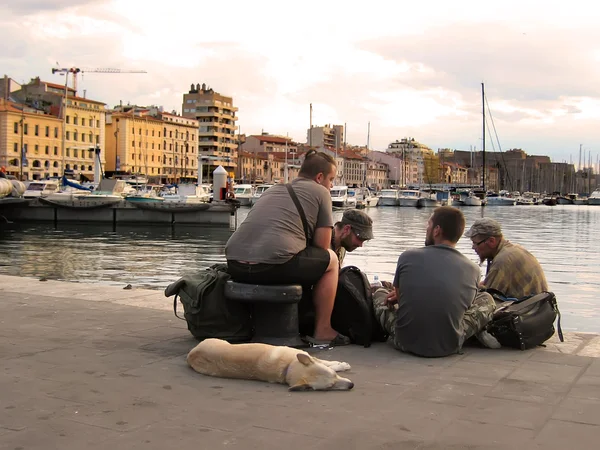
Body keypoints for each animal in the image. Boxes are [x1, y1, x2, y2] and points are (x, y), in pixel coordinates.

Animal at [188, 338, 354, 390]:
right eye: (330, 386)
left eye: (334, 376)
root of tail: (191, 355)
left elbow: (325, 362)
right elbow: (328, 362)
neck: (288, 366)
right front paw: (342, 365)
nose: (351, 385)